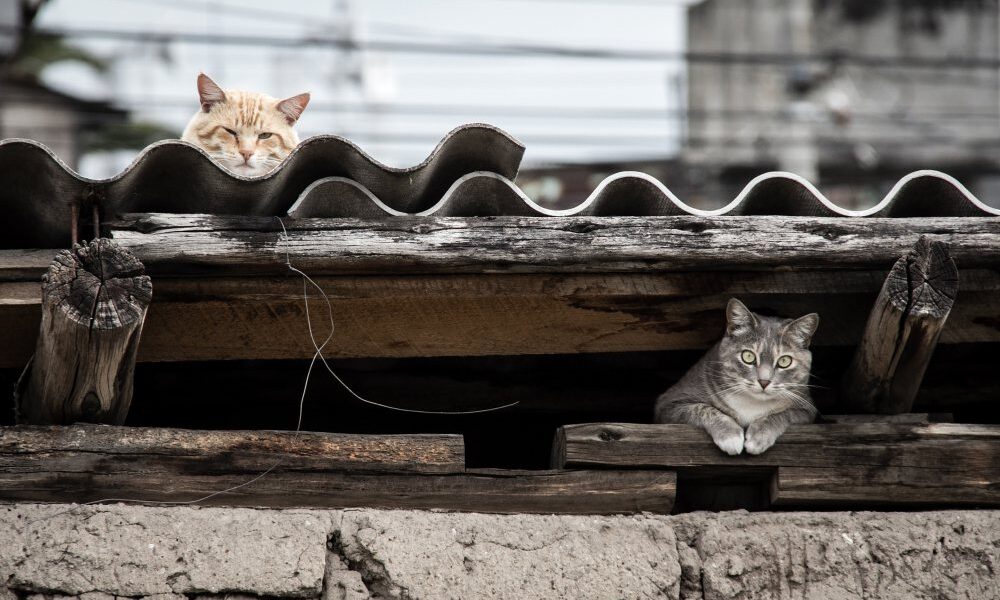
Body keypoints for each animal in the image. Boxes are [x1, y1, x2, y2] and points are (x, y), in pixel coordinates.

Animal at [656, 300, 820, 454]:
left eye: (784, 361)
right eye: (748, 356)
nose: (764, 381)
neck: (752, 403)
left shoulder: (807, 408)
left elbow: (784, 413)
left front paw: (760, 436)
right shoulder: (669, 403)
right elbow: (703, 408)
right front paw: (730, 435)